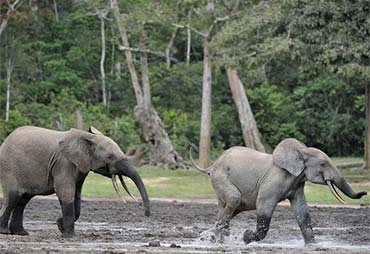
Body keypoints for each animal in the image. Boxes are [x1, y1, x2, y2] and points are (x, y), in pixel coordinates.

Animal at [0, 126, 150, 237]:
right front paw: (69, 235)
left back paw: (21, 233)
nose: (146, 215)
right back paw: (4, 232)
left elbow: (77, 195)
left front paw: (60, 225)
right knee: (13, 196)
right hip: (9, 167)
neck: (89, 137)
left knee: (23, 200)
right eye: (109, 157)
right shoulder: (63, 162)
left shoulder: (81, 167)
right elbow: (66, 192)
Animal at [189, 139, 368, 244]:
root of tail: (212, 165)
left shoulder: (297, 183)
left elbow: (302, 211)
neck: (301, 151)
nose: (365, 193)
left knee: (231, 208)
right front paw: (246, 237)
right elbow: (264, 206)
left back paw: (211, 237)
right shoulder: (273, 182)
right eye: (323, 164)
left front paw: (312, 245)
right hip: (221, 177)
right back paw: (214, 238)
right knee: (234, 199)